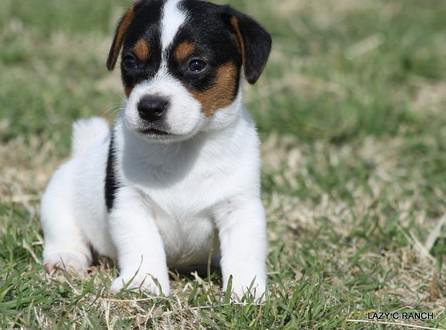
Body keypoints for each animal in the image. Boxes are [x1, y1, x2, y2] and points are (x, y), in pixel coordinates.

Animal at [41, 0, 272, 300]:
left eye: (196, 64)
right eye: (130, 61)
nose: (150, 107)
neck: (180, 150)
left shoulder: (240, 207)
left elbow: (244, 251)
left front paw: (248, 291)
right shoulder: (130, 202)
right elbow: (142, 243)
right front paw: (143, 283)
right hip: (57, 200)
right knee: (66, 235)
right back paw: (65, 260)